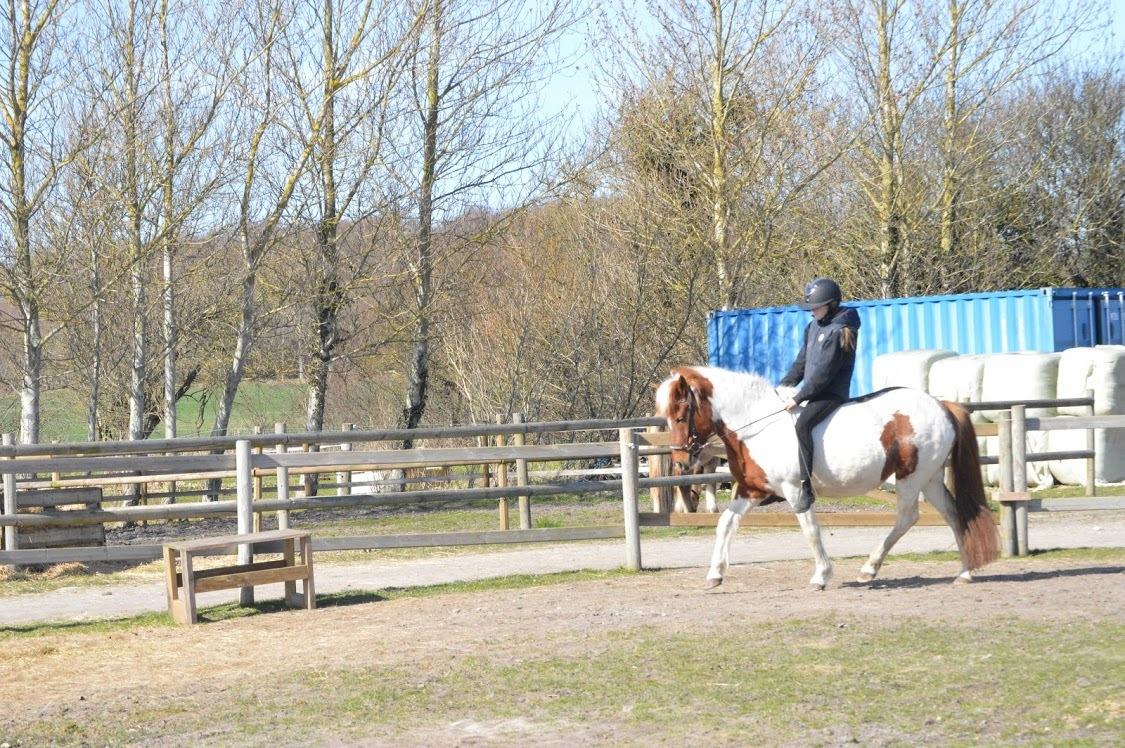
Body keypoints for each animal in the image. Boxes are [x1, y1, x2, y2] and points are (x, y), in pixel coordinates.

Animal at [657, 366, 999, 589]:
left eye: (681, 415)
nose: (681, 463)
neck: (758, 426)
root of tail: (941, 405)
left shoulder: (795, 491)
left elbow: (811, 531)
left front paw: (821, 575)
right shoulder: (751, 489)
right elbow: (725, 523)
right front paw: (715, 575)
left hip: (911, 478)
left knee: (907, 517)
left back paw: (869, 569)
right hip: (930, 478)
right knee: (954, 514)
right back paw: (965, 573)